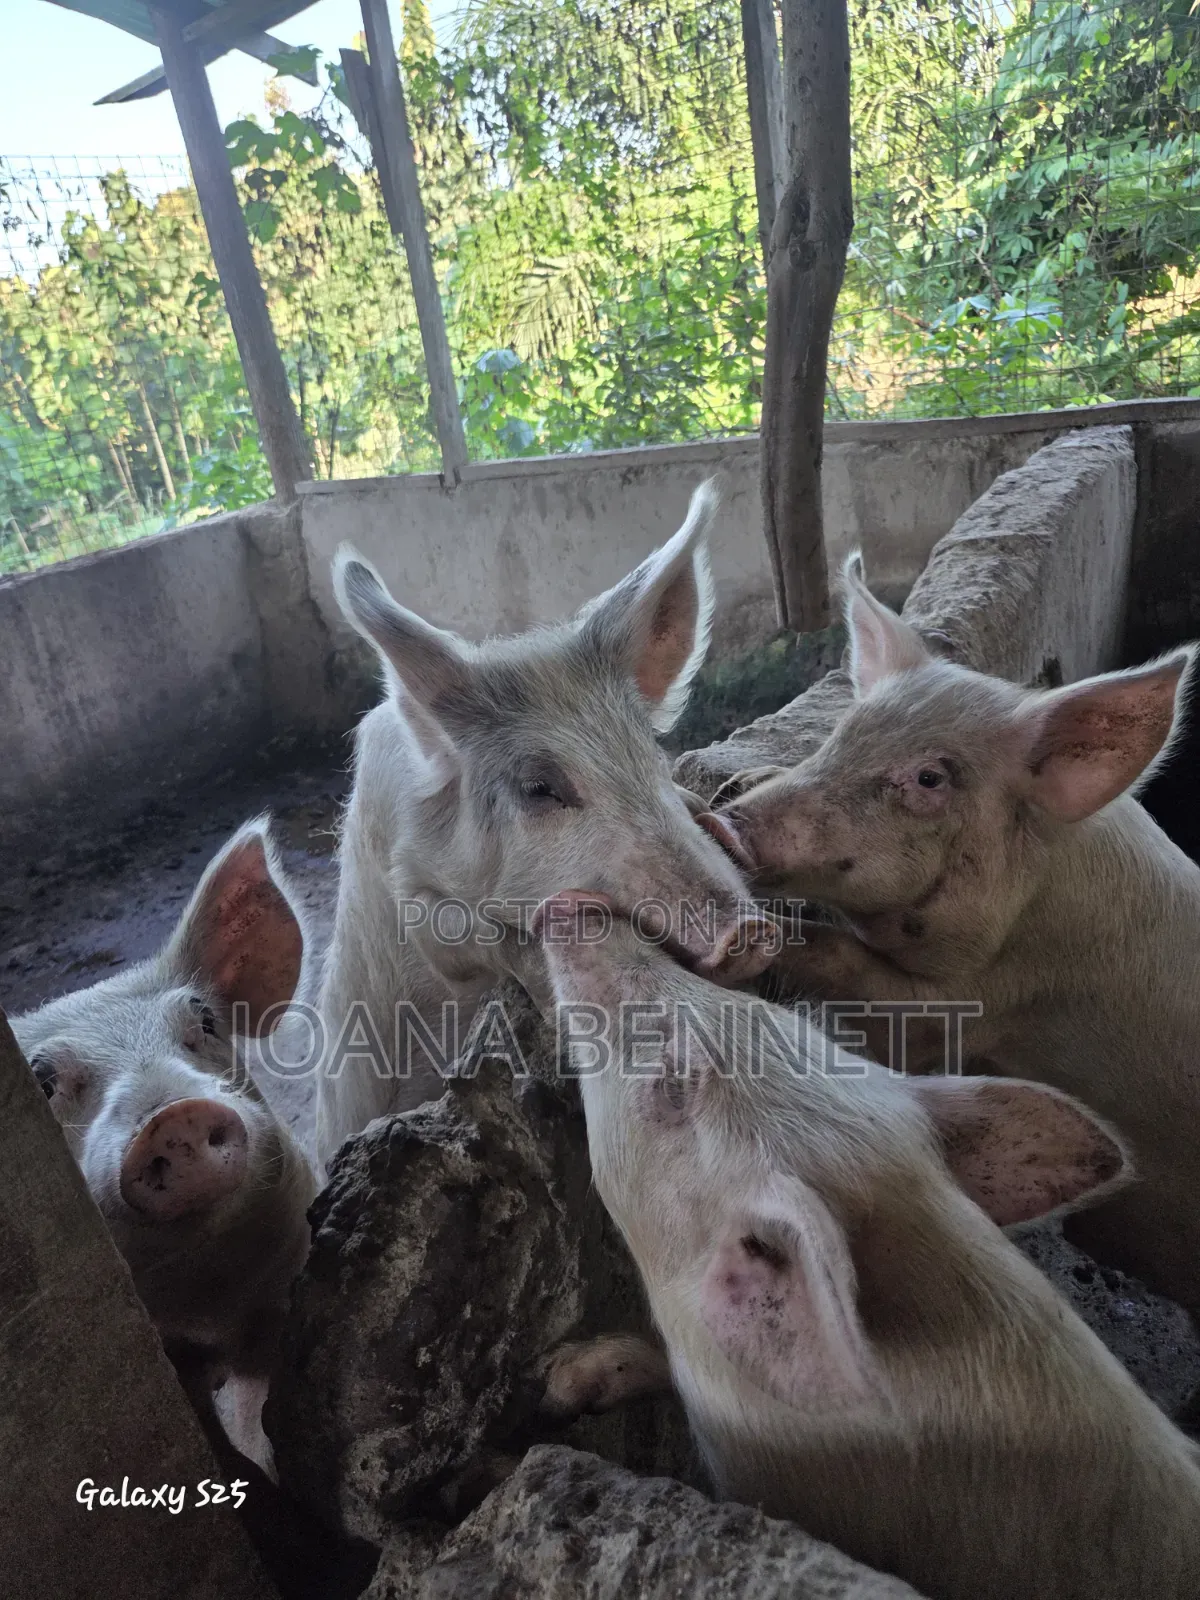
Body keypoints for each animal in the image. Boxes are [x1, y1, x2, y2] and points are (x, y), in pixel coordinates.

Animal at [715, 557, 1200, 1327]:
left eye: (930, 778)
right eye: (842, 734)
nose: (725, 825)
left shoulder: (979, 1000)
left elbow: (857, 972)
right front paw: (735, 781)